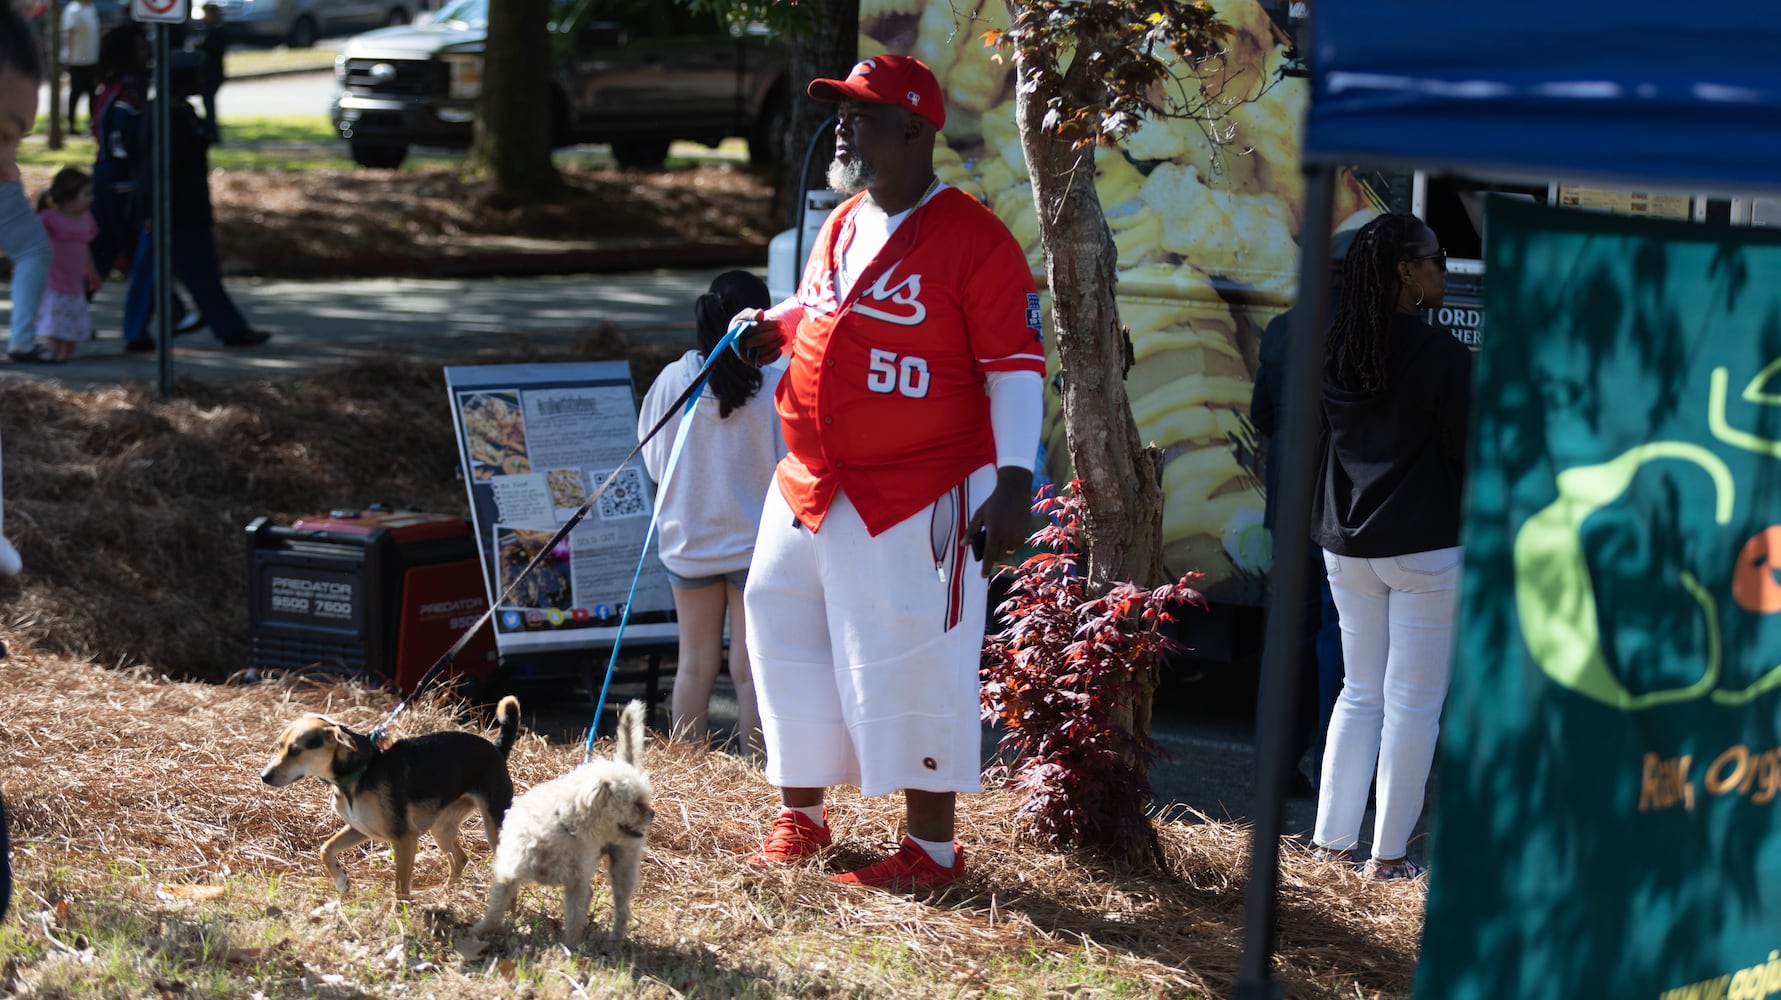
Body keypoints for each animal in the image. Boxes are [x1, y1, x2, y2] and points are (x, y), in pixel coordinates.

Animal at [260, 695, 520, 898]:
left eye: (295, 750)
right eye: (279, 746)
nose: (264, 776)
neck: (359, 771)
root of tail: (497, 749)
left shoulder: (404, 838)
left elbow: (400, 887)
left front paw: (401, 917)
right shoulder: (360, 828)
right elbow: (326, 849)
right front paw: (341, 882)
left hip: (494, 825)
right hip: (441, 827)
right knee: (460, 860)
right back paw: (444, 894)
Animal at [470, 695, 658, 941]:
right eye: (636, 802)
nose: (652, 813)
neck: (563, 826)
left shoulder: (576, 884)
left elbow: (575, 917)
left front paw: (570, 945)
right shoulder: (509, 873)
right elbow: (495, 909)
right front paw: (480, 931)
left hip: (623, 868)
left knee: (622, 909)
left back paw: (614, 940)